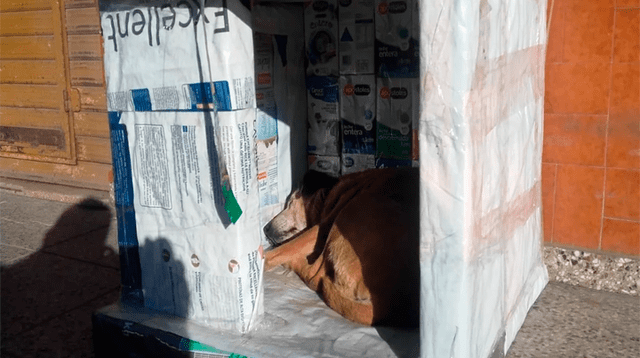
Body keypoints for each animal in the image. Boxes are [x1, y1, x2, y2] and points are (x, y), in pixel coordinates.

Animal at [264, 167, 420, 328]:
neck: (329, 194)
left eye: (289, 204)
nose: (265, 229)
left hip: (350, 211)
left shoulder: (321, 227)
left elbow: (287, 248)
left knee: (314, 273)